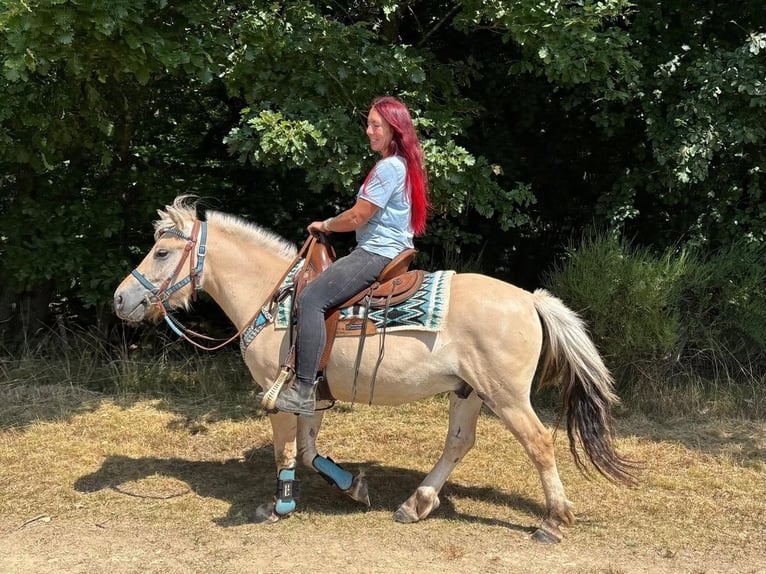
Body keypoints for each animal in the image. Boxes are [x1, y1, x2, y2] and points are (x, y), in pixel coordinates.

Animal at [113, 195, 635, 543]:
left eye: (162, 252)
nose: (121, 299)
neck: (272, 297)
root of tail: (529, 298)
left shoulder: (279, 395)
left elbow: (286, 452)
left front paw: (279, 505)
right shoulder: (311, 393)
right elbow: (308, 451)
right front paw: (354, 489)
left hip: (505, 395)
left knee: (539, 443)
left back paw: (553, 521)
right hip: (467, 391)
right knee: (459, 442)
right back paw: (416, 503)